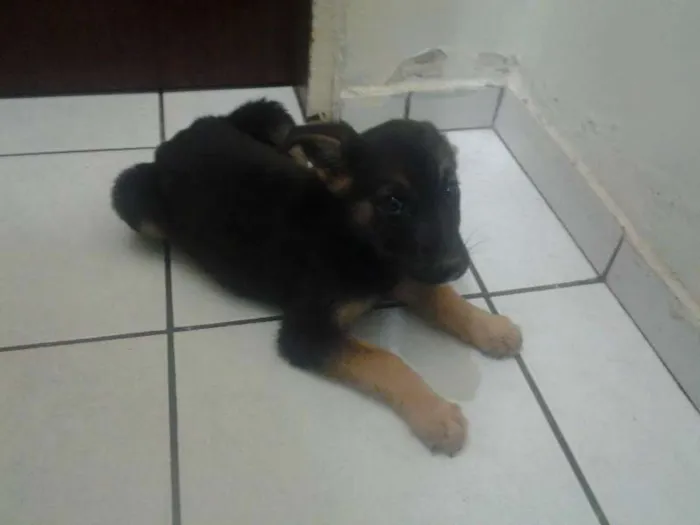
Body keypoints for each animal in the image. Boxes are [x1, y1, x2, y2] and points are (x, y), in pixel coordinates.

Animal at [111, 99, 522, 455]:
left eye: (450, 189)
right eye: (393, 203)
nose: (456, 266)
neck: (355, 237)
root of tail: (177, 139)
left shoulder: (404, 270)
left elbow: (442, 297)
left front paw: (490, 328)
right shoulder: (306, 333)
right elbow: (386, 359)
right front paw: (435, 414)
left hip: (273, 116)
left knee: (295, 149)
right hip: (132, 198)